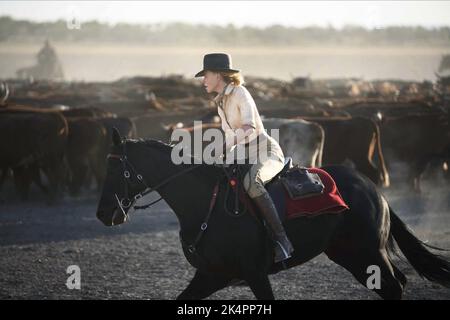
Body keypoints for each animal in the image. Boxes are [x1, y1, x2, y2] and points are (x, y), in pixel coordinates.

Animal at [96, 129, 450, 298]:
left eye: (114, 167)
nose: (103, 214)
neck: (206, 205)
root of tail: (373, 189)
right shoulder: (211, 275)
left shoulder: (254, 274)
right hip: (350, 254)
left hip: (368, 252)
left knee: (394, 286)